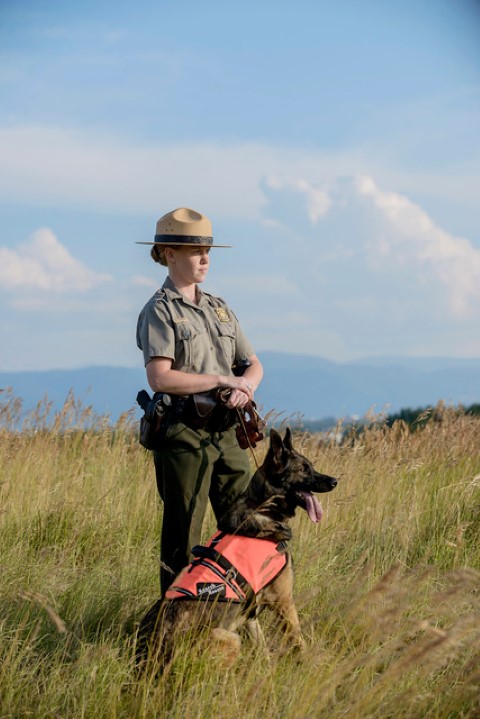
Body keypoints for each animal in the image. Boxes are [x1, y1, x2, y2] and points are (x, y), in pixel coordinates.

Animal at [135, 428, 338, 668]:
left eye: (312, 466)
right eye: (304, 469)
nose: (335, 481)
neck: (263, 507)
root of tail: (155, 656)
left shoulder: (250, 611)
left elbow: (261, 646)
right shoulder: (284, 600)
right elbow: (298, 640)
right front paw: (307, 665)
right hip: (229, 638)